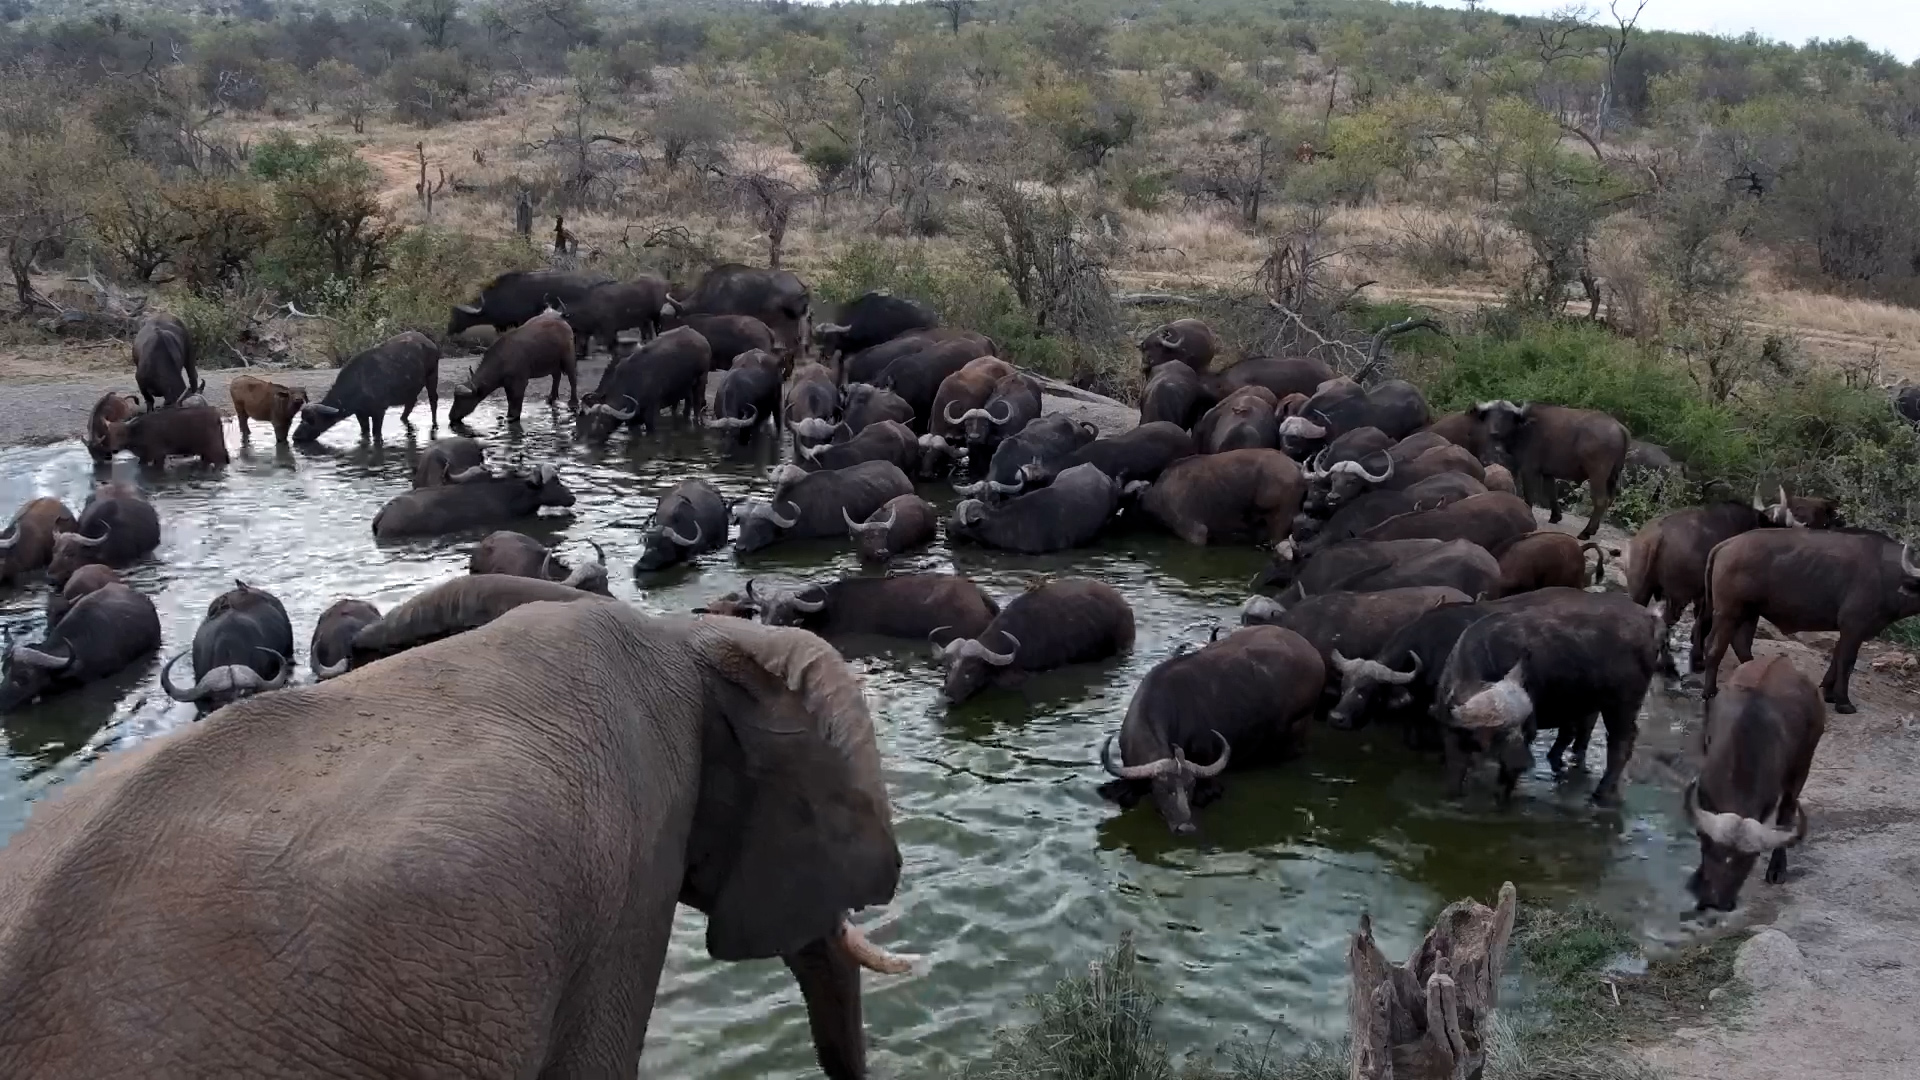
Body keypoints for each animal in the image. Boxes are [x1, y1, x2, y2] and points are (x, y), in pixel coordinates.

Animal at [295, 331, 442, 442]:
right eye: (302, 418)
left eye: (312, 420)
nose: (296, 436)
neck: (359, 384)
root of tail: (429, 341)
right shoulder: (361, 414)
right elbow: (365, 433)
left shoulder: (379, 412)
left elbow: (376, 434)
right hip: (411, 388)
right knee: (410, 403)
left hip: (432, 375)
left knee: (433, 400)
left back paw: (435, 424)